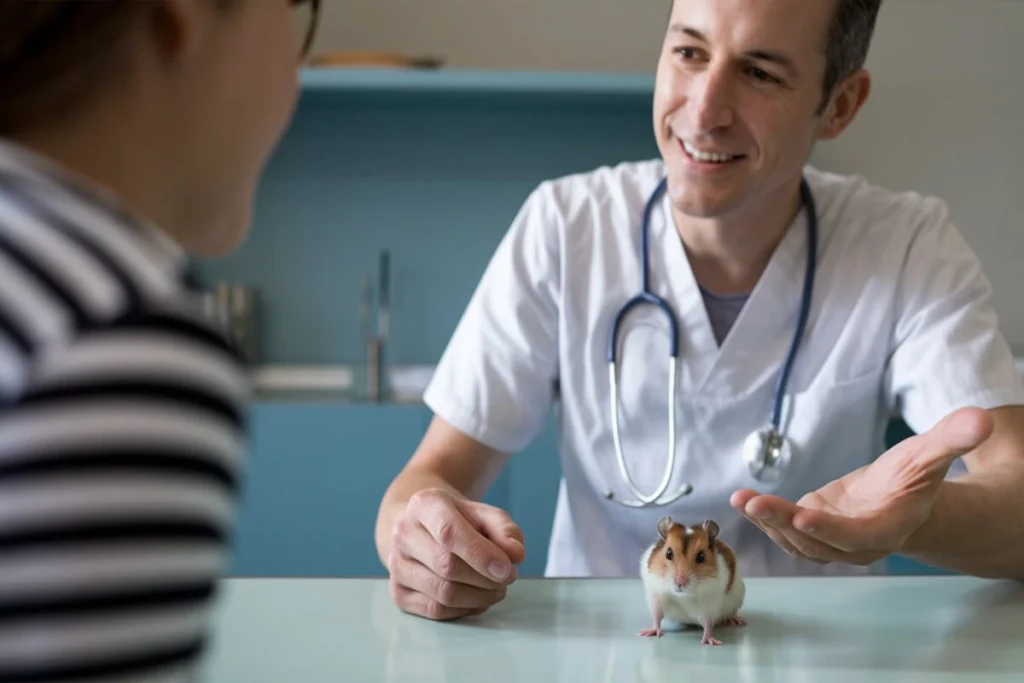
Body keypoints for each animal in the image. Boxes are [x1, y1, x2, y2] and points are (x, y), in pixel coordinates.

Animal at [638, 518, 745, 647]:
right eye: (668, 553)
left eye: (701, 556)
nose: (679, 583)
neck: (682, 596)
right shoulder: (656, 597)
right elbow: (657, 617)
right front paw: (646, 633)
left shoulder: (710, 604)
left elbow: (708, 624)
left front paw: (710, 641)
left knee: (731, 613)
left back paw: (736, 620)